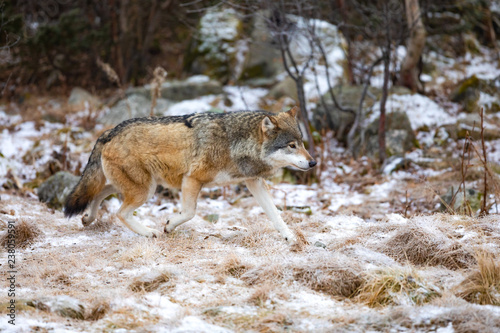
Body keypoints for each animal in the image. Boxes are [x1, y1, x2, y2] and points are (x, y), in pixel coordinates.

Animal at [64, 106, 316, 241]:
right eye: (291, 145)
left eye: (302, 143)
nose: (313, 162)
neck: (234, 144)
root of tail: (108, 132)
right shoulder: (192, 179)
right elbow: (189, 213)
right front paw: (168, 226)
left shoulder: (253, 182)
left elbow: (276, 215)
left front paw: (290, 237)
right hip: (146, 190)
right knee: (120, 212)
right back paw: (149, 233)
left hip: (134, 185)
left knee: (98, 194)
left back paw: (88, 218)